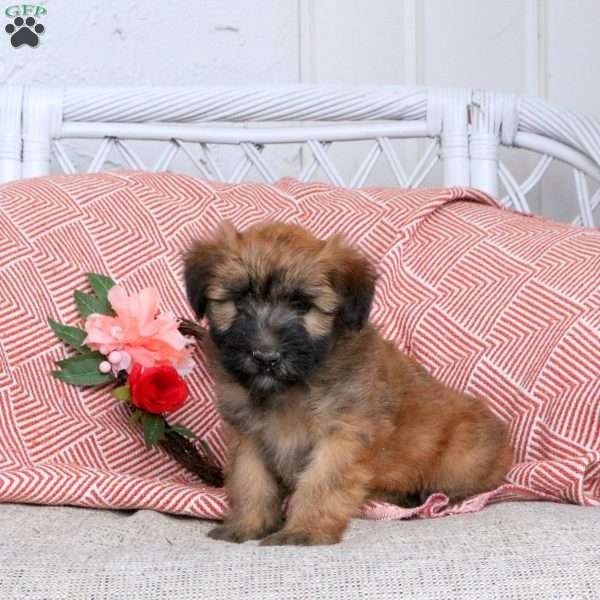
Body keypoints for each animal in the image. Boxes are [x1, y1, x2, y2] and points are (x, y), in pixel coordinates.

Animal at [183, 223, 510, 548]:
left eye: (302, 305)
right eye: (240, 300)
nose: (266, 357)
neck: (293, 387)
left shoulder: (343, 435)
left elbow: (320, 484)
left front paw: (306, 530)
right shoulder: (248, 436)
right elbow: (250, 482)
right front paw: (248, 524)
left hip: (461, 457)